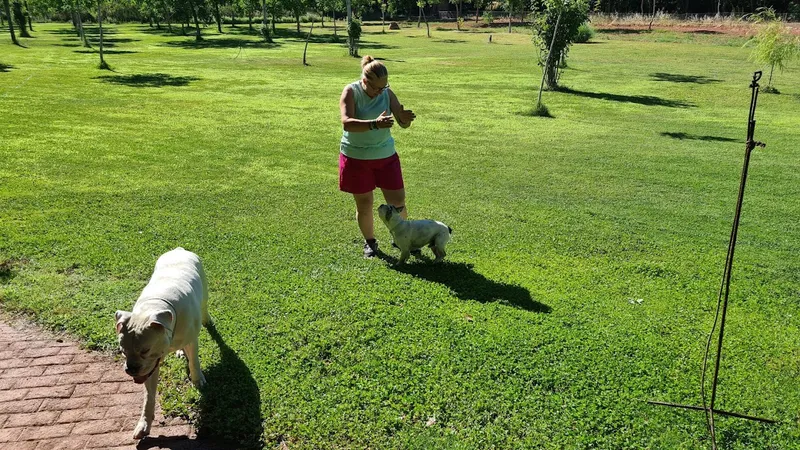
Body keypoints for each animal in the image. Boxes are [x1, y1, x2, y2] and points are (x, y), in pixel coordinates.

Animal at [115, 246, 211, 440]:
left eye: (145, 350)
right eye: (122, 351)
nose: (130, 369)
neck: (155, 306)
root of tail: (179, 249)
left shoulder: (192, 341)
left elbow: (195, 362)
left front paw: (198, 380)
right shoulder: (149, 369)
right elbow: (149, 397)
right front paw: (144, 423)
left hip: (204, 289)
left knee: (204, 306)